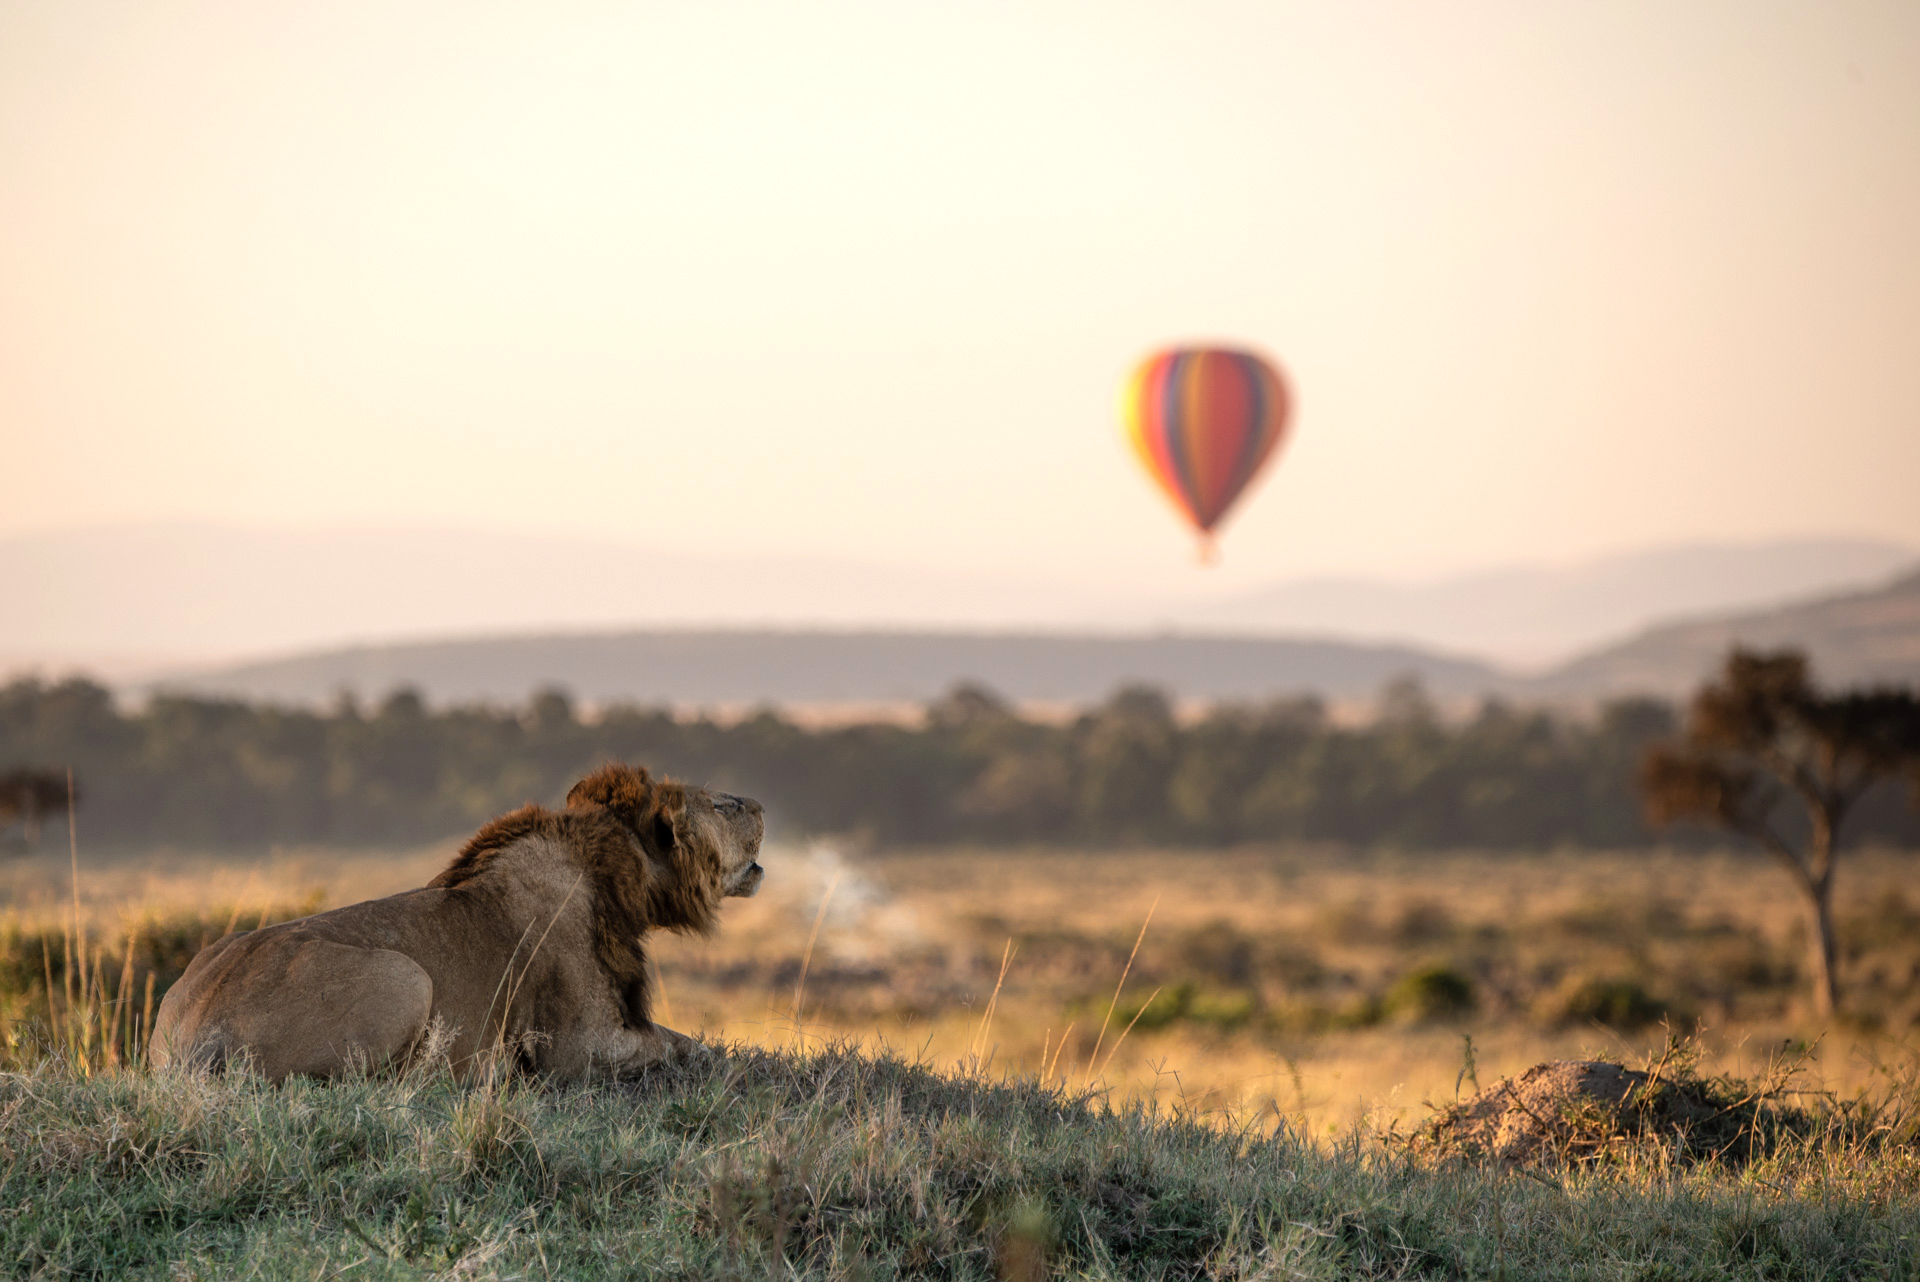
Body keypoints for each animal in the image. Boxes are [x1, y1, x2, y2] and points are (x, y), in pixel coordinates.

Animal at [150, 763, 764, 1082]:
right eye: (721, 806)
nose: (760, 805)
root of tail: (194, 1032)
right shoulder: (578, 1048)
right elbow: (686, 1046)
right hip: (406, 978)